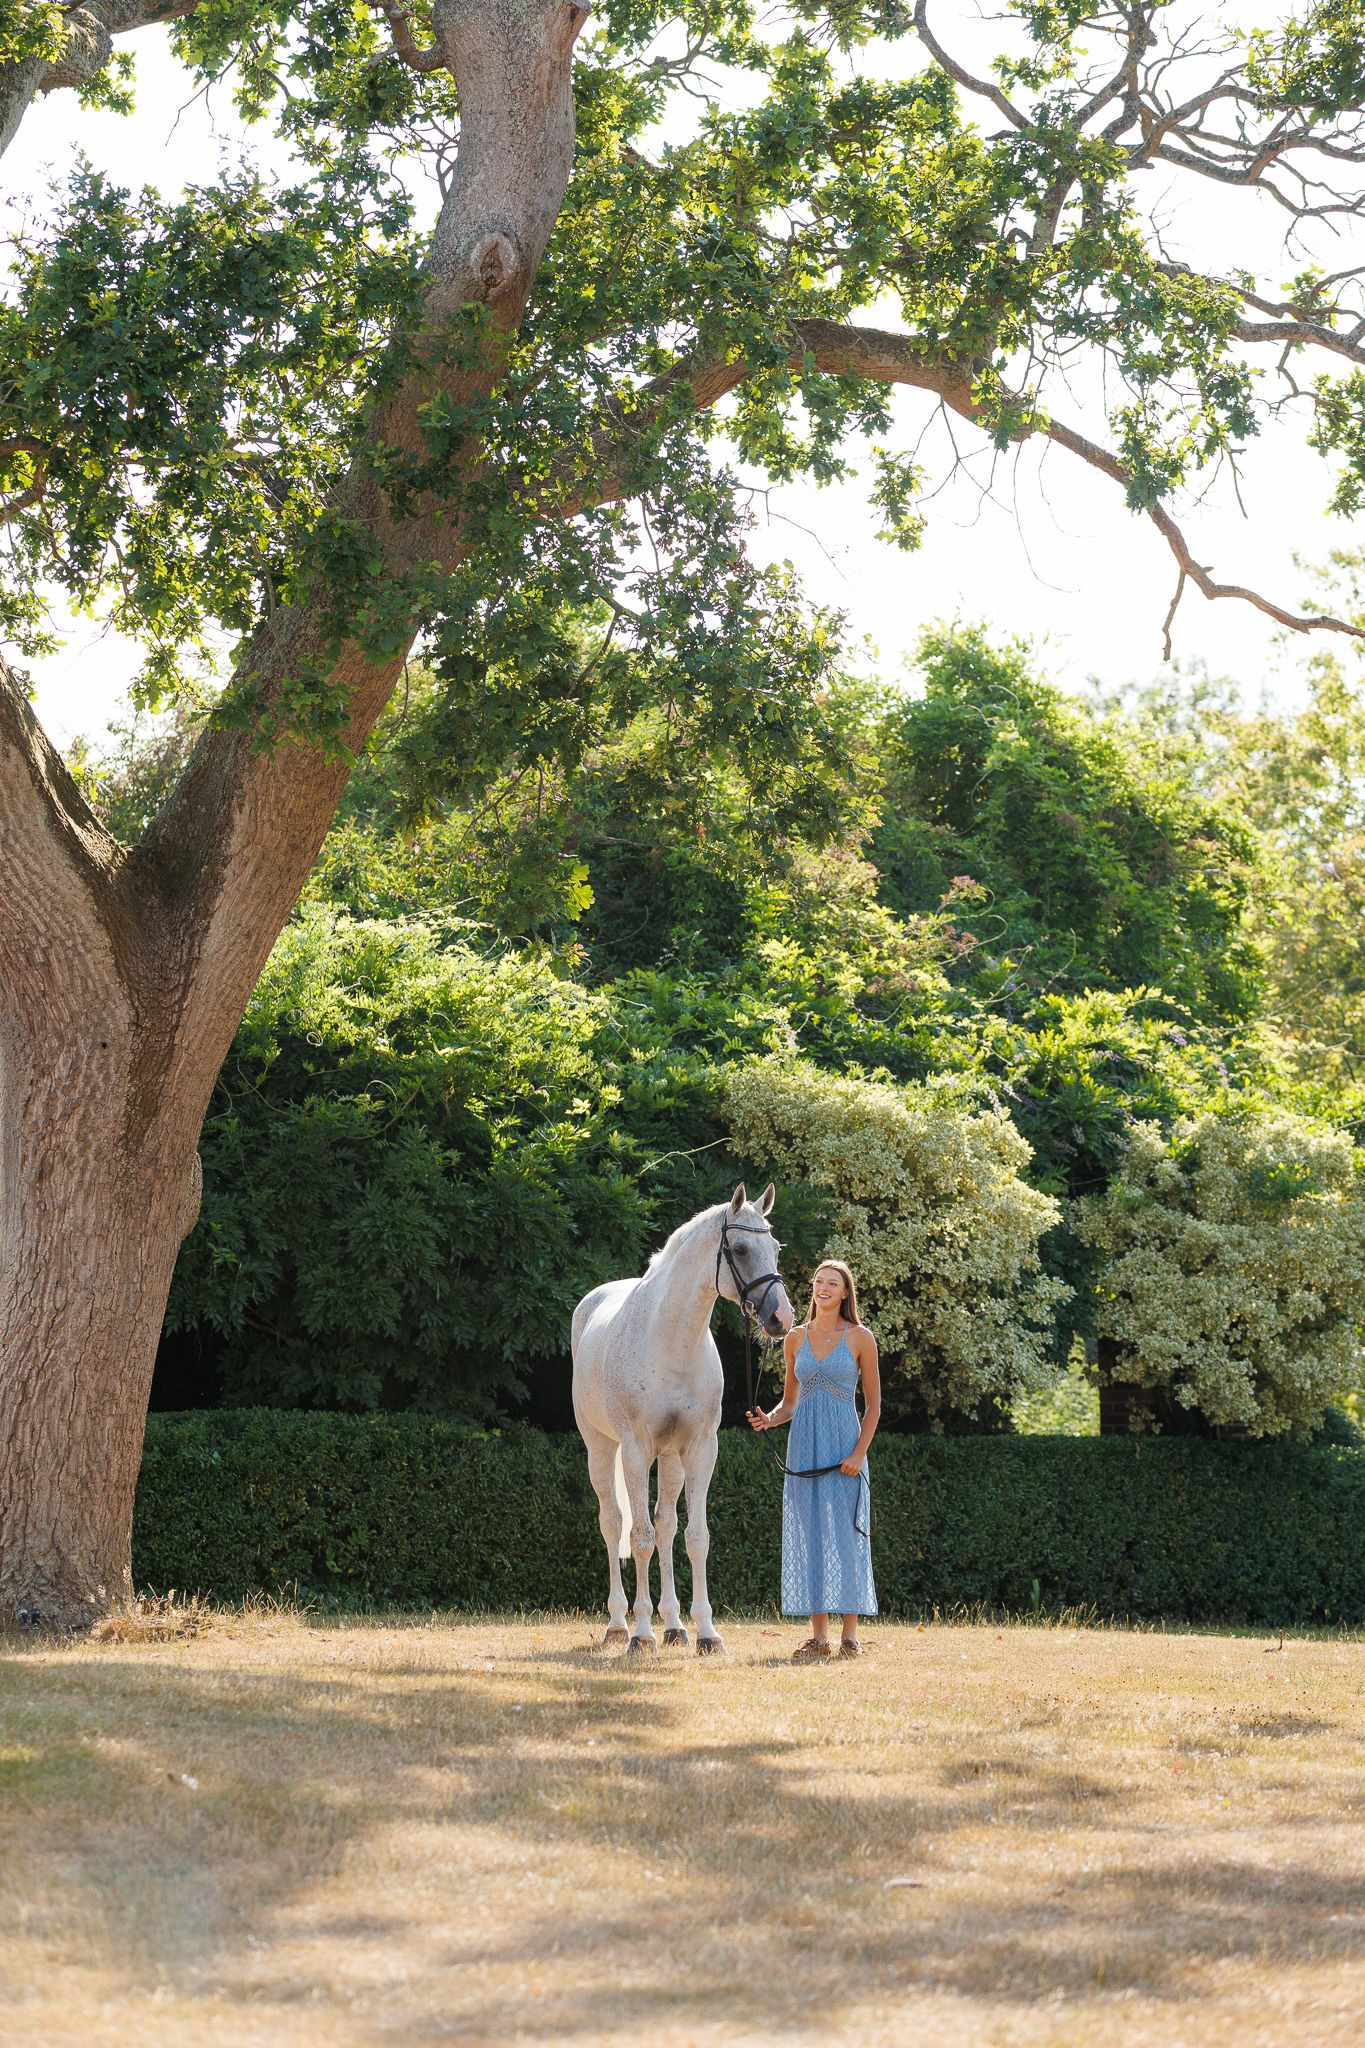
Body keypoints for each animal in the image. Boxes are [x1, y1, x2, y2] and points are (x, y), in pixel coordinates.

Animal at [571, 1183, 794, 1655]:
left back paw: (673, 1625)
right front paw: (642, 1635)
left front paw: (706, 1632)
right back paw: (619, 1625)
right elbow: (638, 1538)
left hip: (671, 1459)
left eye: (775, 1249)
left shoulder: (700, 1449)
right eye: (740, 1248)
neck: (672, 1339)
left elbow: (695, 1537)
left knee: (667, 1526)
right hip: (601, 1449)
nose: (780, 1318)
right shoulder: (636, 1451)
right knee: (613, 1522)